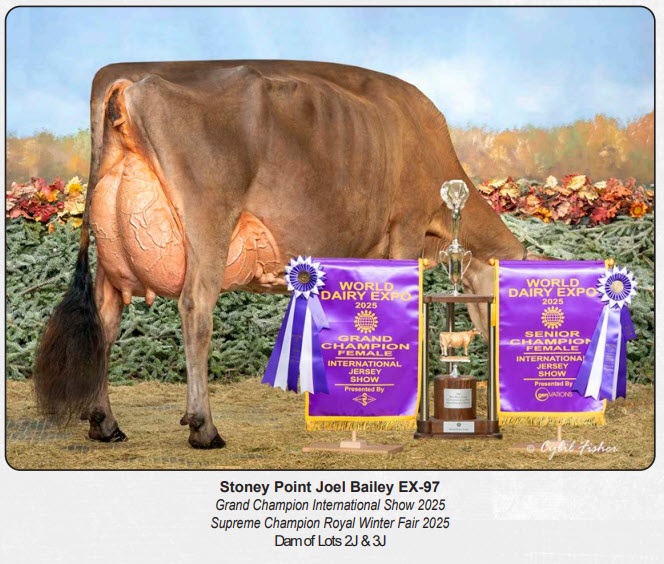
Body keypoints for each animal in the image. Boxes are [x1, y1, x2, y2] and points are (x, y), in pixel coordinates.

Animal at [33, 60, 535, 449]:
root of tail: (128, 80)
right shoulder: (405, 229)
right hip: (208, 223)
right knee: (196, 309)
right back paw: (204, 427)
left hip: (111, 252)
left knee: (106, 319)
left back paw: (105, 423)